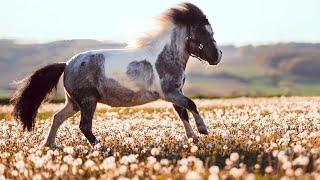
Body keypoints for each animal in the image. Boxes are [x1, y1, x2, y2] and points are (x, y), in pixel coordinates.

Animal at [11, 2, 221, 147]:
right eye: (203, 32)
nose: (217, 56)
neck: (165, 56)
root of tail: (67, 64)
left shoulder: (174, 93)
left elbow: (183, 113)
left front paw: (194, 139)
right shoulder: (170, 93)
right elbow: (191, 105)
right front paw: (203, 130)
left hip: (74, 103)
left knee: (57, 118)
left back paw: (50, 145)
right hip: (88, 100)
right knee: (84, 126)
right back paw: (101, 147)